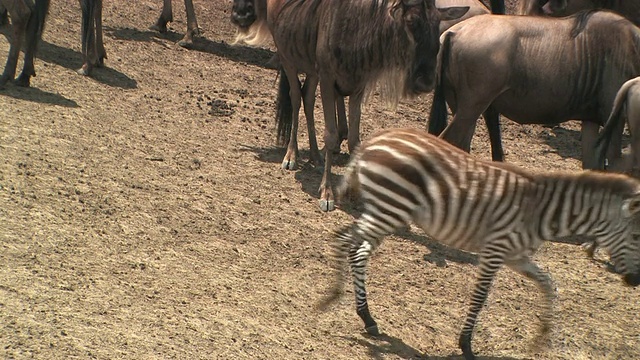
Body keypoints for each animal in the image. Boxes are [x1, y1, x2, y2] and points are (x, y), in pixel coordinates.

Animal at [320, 128, 640, 360]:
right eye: (637, 237)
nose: (635, 281)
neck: (540, 211)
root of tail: (374, 140)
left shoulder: (516, 257)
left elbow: (549, 284)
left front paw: (542, 337)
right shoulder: (495, 252)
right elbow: (480, 297)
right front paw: (466, 345)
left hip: (386, 211)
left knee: (357, 251)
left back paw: (367, 318)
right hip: (390, 208)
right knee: (342, 239)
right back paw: (332, 297)